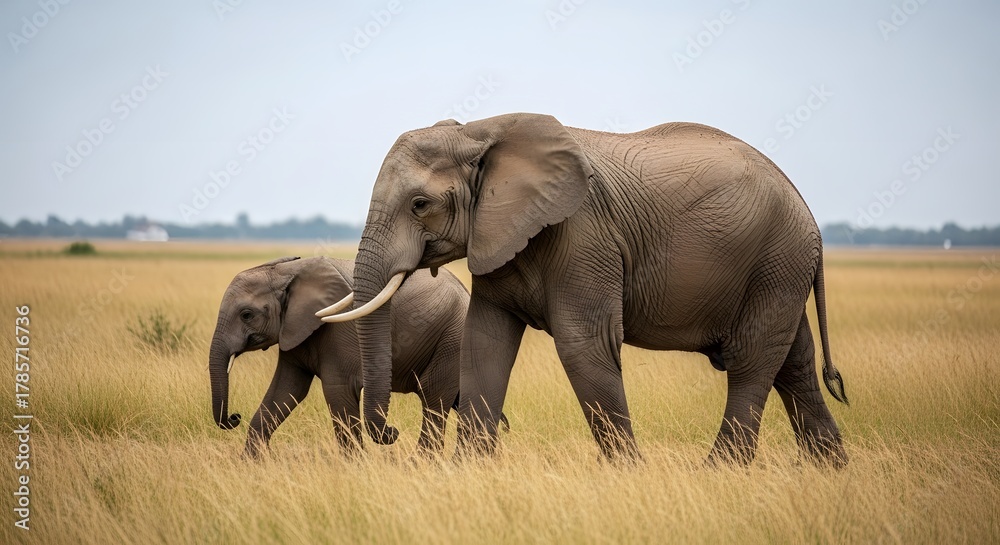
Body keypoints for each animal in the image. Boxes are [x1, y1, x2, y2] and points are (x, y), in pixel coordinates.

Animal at [207, 256, 471, 458]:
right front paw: (251, 462)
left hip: (452, 336)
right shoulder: (293, 330)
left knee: (433, 395)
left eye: (246, 315)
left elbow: (338, 391)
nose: (234, 417)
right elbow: (285, 390)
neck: (288, 271)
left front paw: (356, 467)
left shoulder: (340, 330)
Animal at [317, 113, 849, 466]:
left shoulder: (583, 234)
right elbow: (484, 345)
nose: (389, 432)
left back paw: (719, 472)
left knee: (752, 361)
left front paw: (628, 474)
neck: (481, 130)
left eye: (420, 204)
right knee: (793, 363)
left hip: (777, 258)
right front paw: (468, 471)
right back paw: (829, 469)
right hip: (777, 268)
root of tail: (809, 213)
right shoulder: (498, 234)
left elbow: (583, 344)